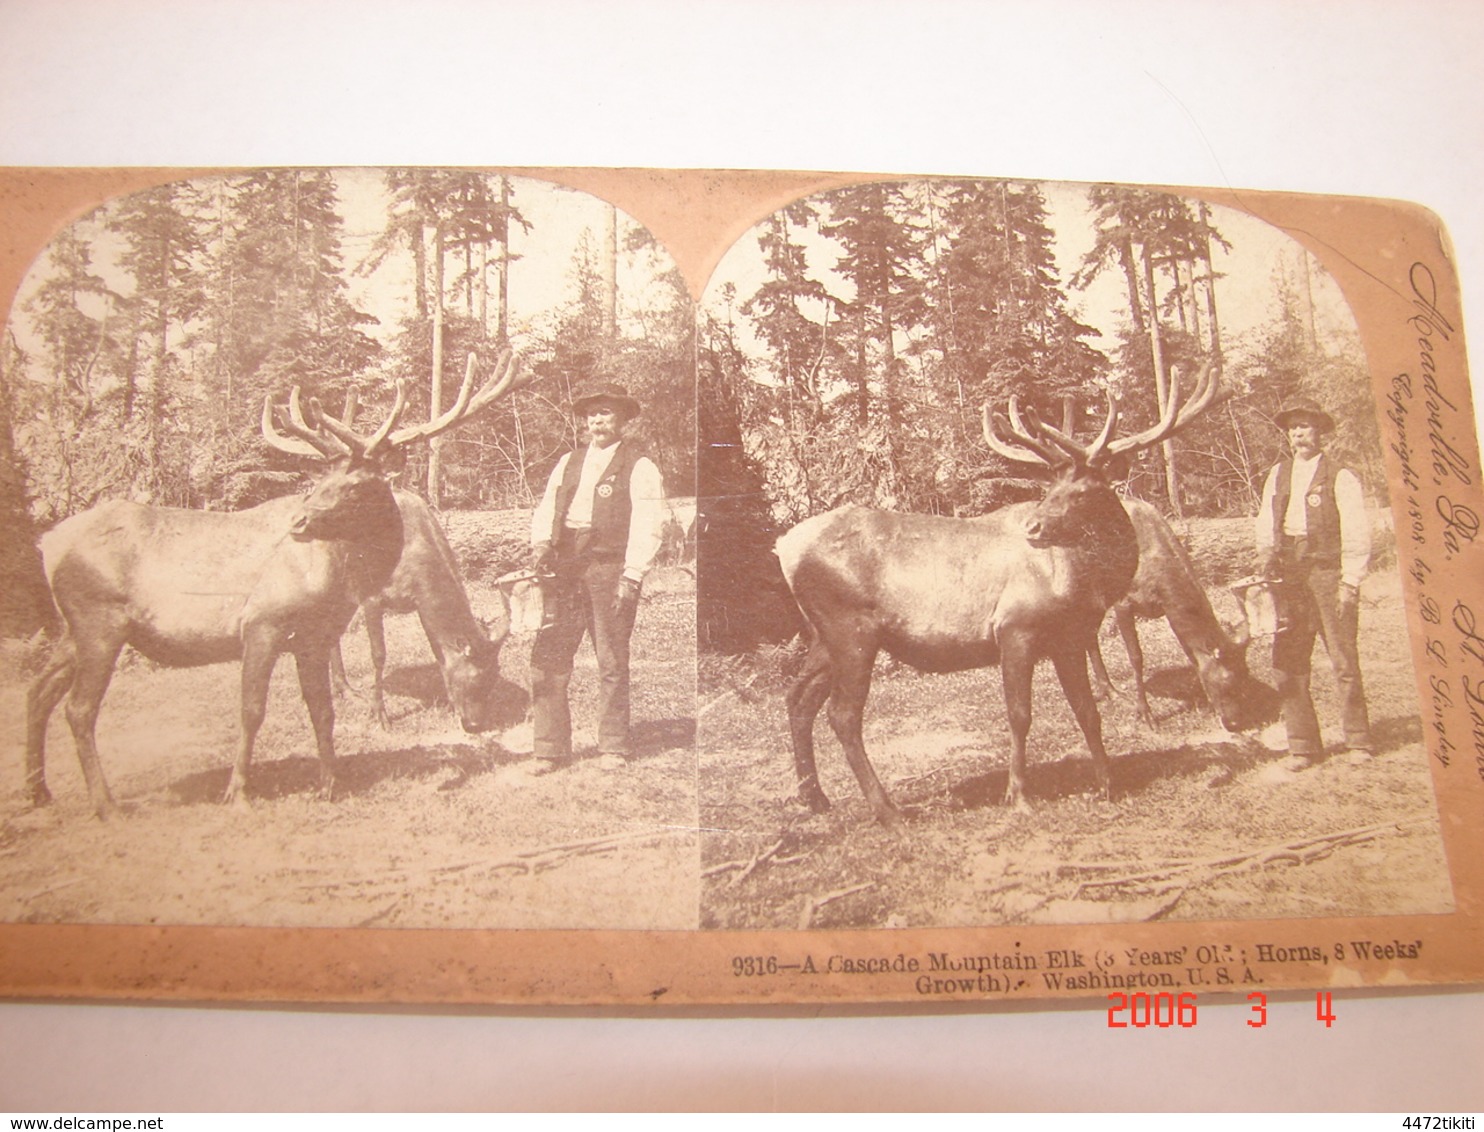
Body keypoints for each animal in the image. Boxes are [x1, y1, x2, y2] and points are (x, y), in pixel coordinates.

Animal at [330, 492, 528, 729]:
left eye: (495, 677)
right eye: (474, 679)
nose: (474, 725)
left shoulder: (420, 603)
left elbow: (437, 650)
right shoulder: (372, 597)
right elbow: (378, 655)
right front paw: (380, 714)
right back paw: (345, 690)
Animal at [777, 360, 1216, 824]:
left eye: (1085, 490)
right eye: (1050, 488)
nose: (1034, 527)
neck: (1079, 583)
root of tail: (784, 547)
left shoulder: (1070, 638)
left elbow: (1087, 710)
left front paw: (1107, 784)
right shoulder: (1014, 627)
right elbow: (1020, 715)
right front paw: (1018, 794)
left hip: (823, 635)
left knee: (798, 699)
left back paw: (816, 798)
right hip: (850, 630)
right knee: (842, 715)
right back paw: (888, 810)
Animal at [1086, 498, 1282, 729]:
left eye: (1246, 675)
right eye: (1226, 682)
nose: (1234, 723)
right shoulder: (1123, 601)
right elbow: (1136, 657)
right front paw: (1145, 713)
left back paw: (1107, 689)